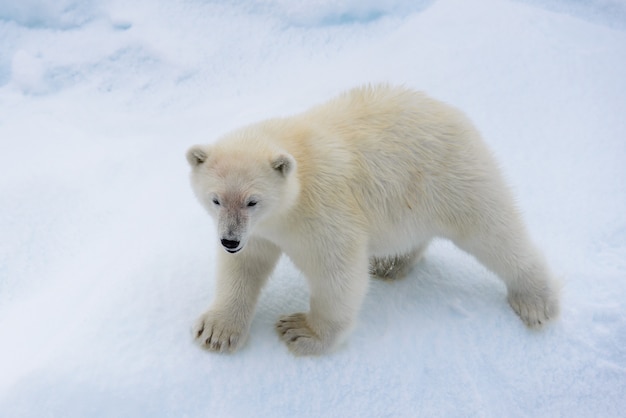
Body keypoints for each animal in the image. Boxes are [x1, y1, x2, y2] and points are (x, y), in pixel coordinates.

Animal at [184, 85, 556, 356]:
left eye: (252, 201)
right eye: (215, 199)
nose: (228, 240)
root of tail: (454, 114)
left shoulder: (321, 207)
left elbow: (337, 270)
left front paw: (301, 331)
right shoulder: (259, 231)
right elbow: (244, 267)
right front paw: (217, 331)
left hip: (452, 178)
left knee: (494, 233)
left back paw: (536, 301)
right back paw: (392, 263)